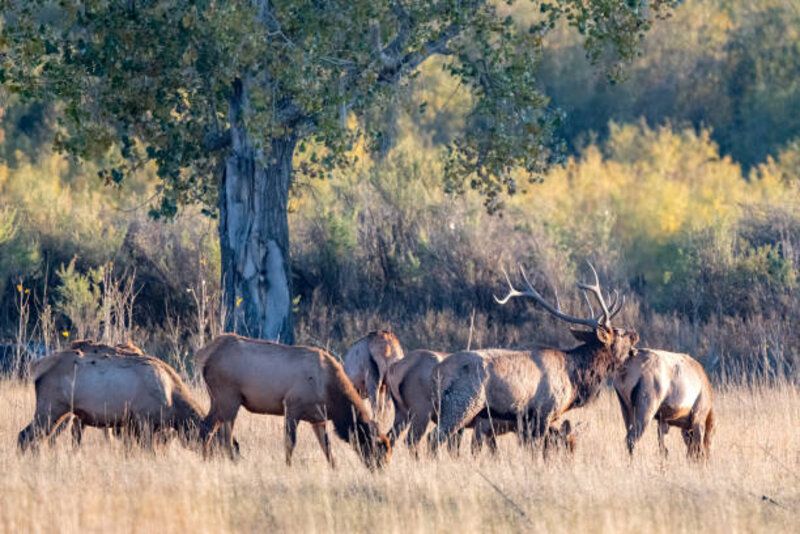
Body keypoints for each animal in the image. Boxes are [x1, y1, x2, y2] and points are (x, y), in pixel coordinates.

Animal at [18, 344, 205, 452]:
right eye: (209, 437)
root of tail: (37, 366)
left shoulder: (132, 425)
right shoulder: (144, 421)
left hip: (61, 412)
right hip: (52, 408)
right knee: (25, 436)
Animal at [197, 338, 390, 472]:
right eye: (378, 450)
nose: (380, 470)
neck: (331, 395)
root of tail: (205, 357)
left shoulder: (318, 419)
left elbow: (327, 449)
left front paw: (335, 470)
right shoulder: (291, 406)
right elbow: (290, 442)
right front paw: (288, 467)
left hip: (223, 401)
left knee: (220, 433)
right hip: (227, 399)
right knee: (209, 428)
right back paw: (206, 460)